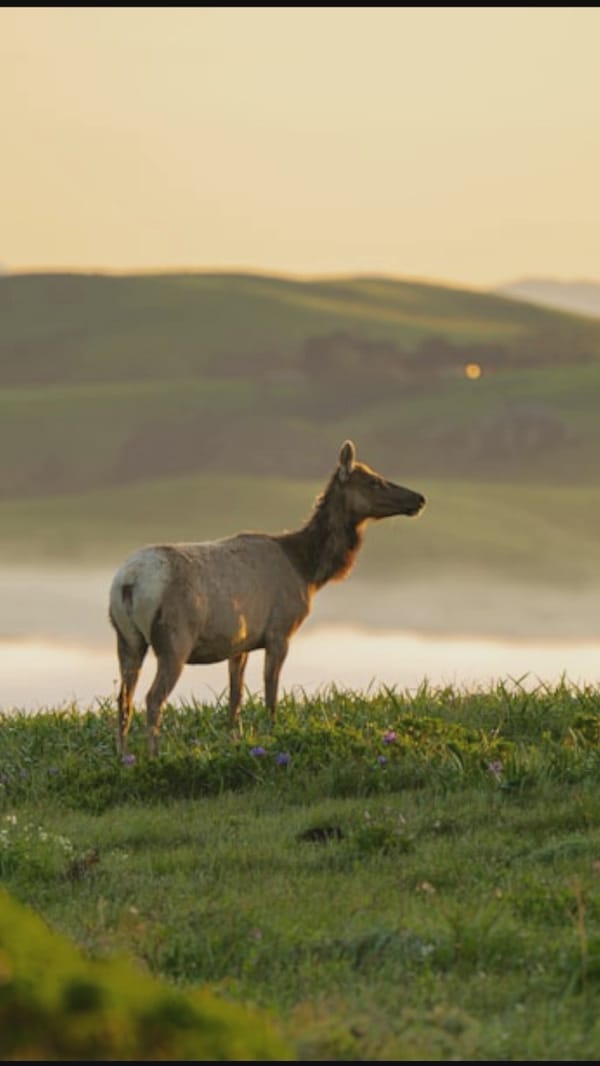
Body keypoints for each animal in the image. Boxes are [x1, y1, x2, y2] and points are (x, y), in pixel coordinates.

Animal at [108, 440, 426, 756]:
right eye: (374, 481)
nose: (419, 499)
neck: (307, 571)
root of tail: (128, 582)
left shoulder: (240, 643)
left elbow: (235, 699)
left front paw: (234, 741)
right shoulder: (279, 631)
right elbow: (271, 696)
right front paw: (274, 736)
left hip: (126, 638)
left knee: (123, 698)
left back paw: (123, 755)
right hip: (174, 640)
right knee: (152, 699)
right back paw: (153, 755)